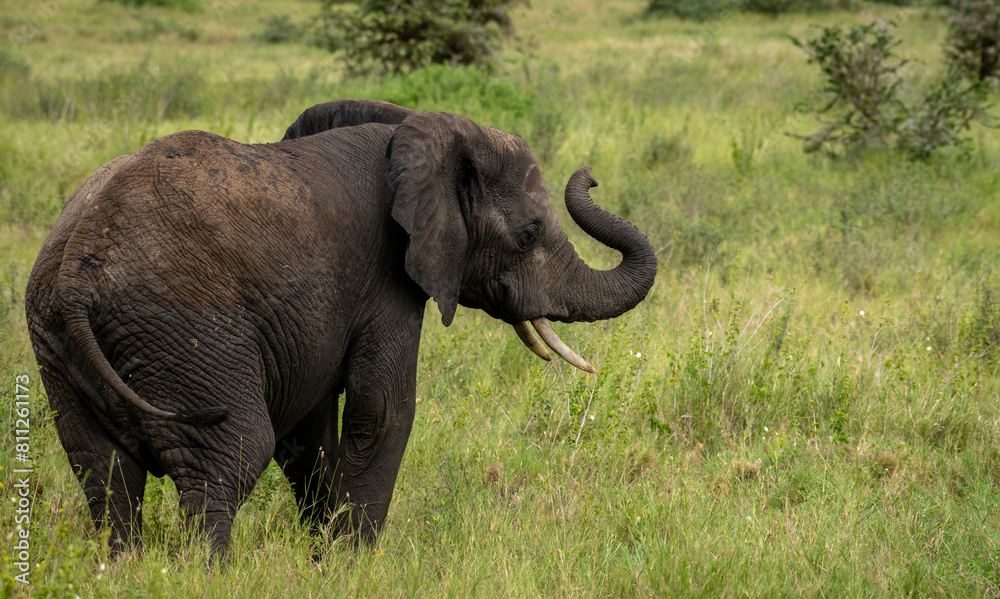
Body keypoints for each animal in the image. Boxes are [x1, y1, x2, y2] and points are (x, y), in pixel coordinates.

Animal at [25, 99, 657, 560]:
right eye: (527, 236)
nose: (591, 177)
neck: (414, 131)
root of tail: (78, 267)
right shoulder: (387, 278)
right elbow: (382, 411)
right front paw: (355, 566)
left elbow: (313, 431)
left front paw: (324, 559)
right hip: (185, 333)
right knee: (229, 454)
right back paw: (205, 572)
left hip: (58, 345)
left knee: (103, 471)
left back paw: (120, 568)